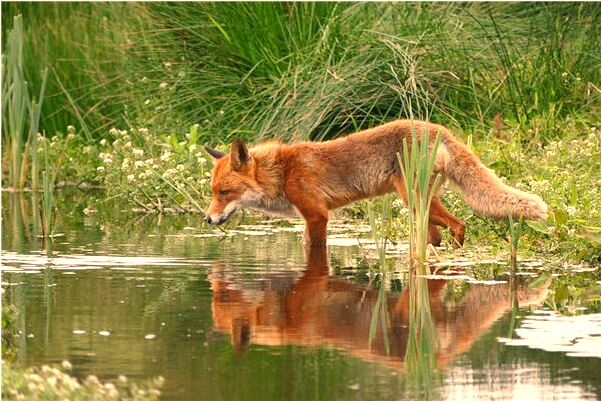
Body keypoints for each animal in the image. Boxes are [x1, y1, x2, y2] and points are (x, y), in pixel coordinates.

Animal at [204, 118, 548, 247]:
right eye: (212, 193)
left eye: (225, 192)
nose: (207, 219)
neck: (283, 172)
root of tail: (438, 128)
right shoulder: (309, 218)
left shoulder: (317, 215)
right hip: (421, 206)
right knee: (437, 236)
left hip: (414, 199)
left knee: (460, 225)